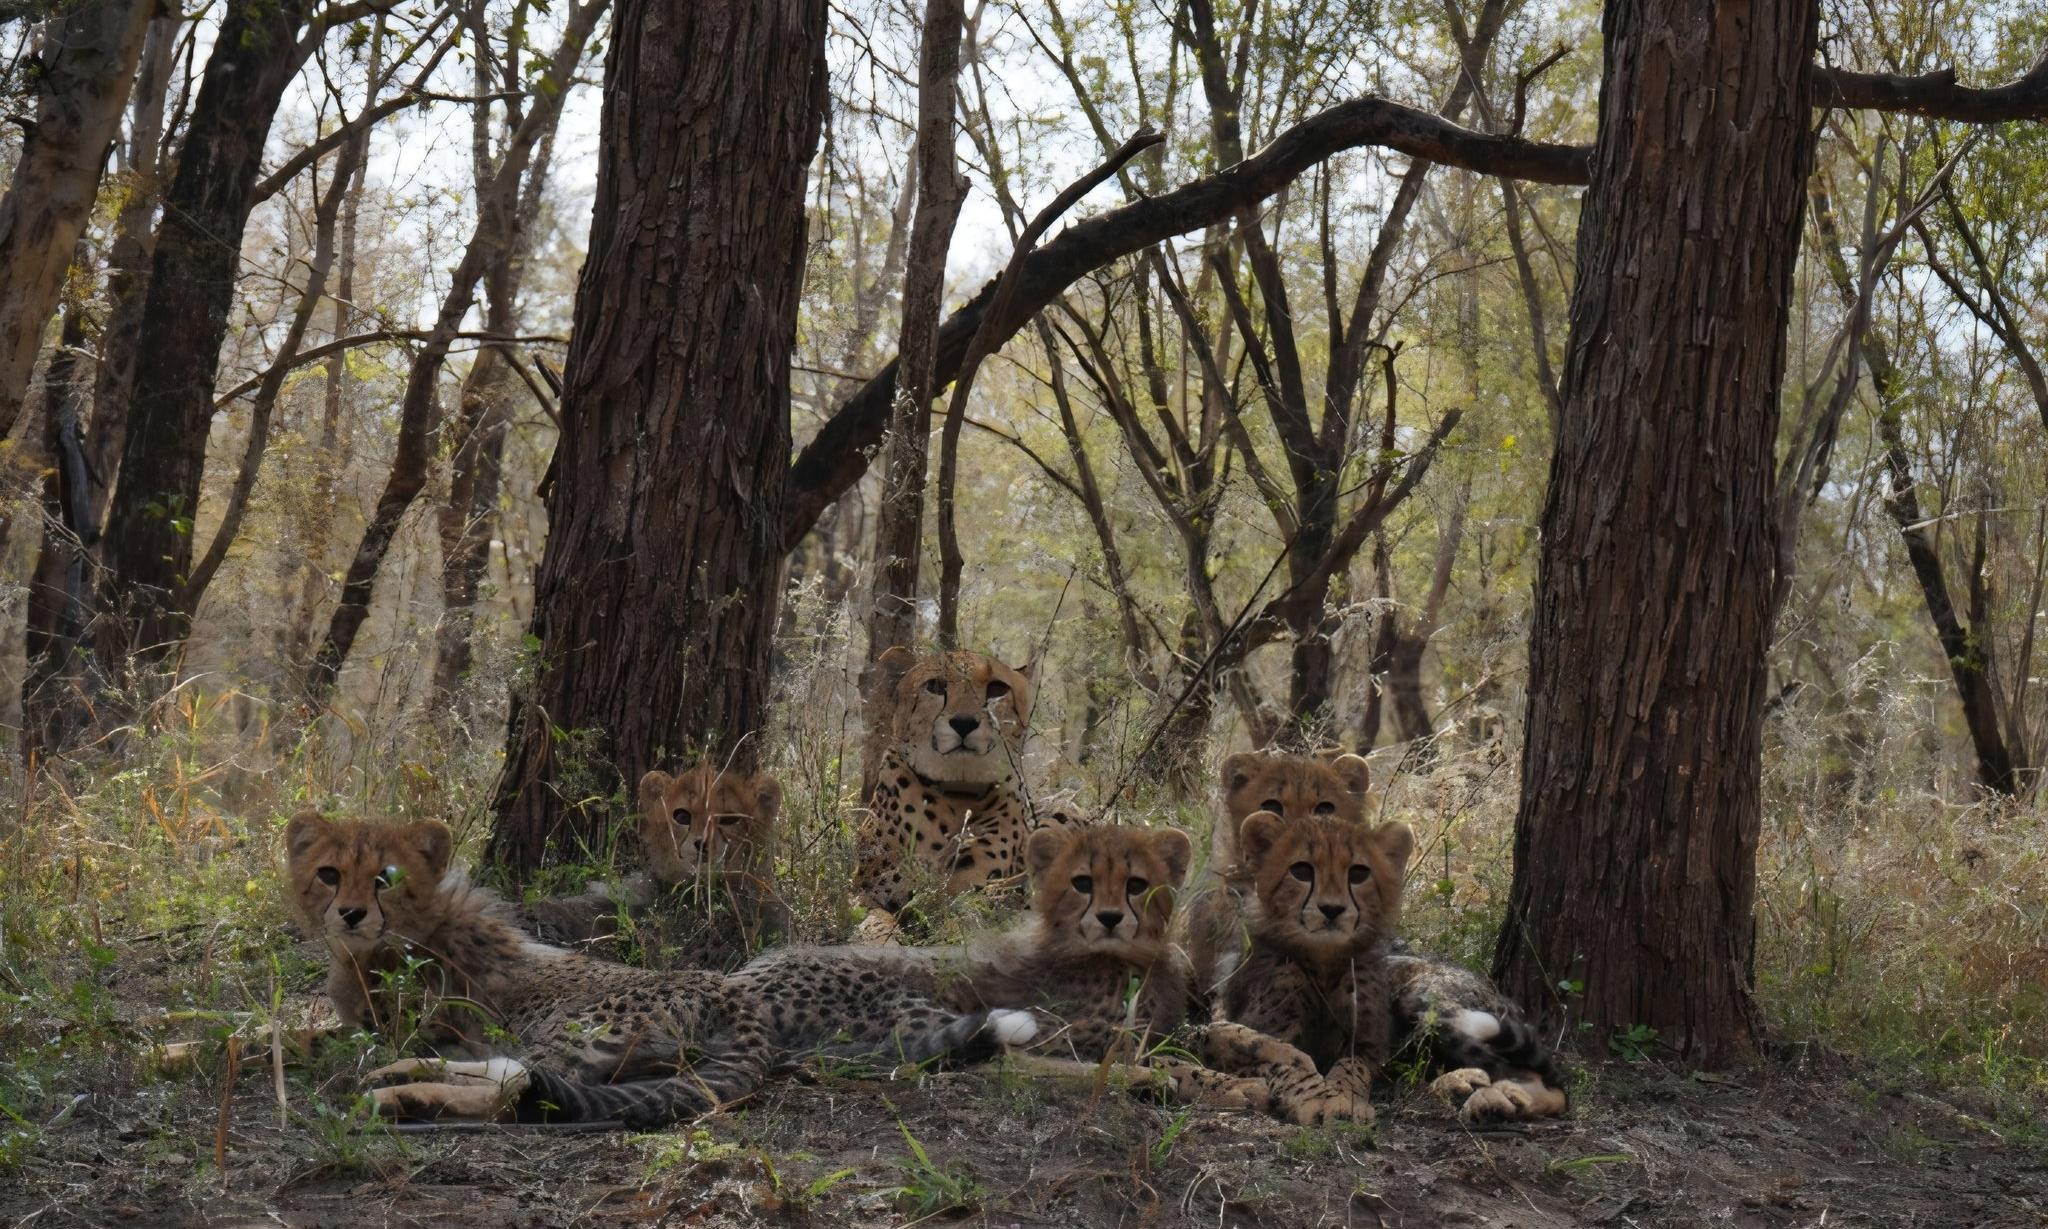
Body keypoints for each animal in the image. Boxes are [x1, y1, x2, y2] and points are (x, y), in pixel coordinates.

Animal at [286, 812, 1001, 1127]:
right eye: (330, 873)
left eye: (385, 878)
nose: (350, 914)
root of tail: (731, 998)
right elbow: (306, 1031)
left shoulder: (425, 1019)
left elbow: (330, 1036)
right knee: (511, 1069)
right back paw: (397, 1077)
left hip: (577, 1025)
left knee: (519, 1081)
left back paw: (396, 1092)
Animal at [1191, 809, 1567, 1125]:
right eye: (1301, 870)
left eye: (1358, 873)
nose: (1332, 910)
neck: (1322, 958)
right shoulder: (1222, 1026)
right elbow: (1274, 1047)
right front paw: (1315, 1097)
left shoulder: (1365, 1042)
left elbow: (1349, 1066)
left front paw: (1339, 1098)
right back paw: (1467, 1087)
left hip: (1423, 1000)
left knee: (1547, 1080)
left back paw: (1493, 1097)